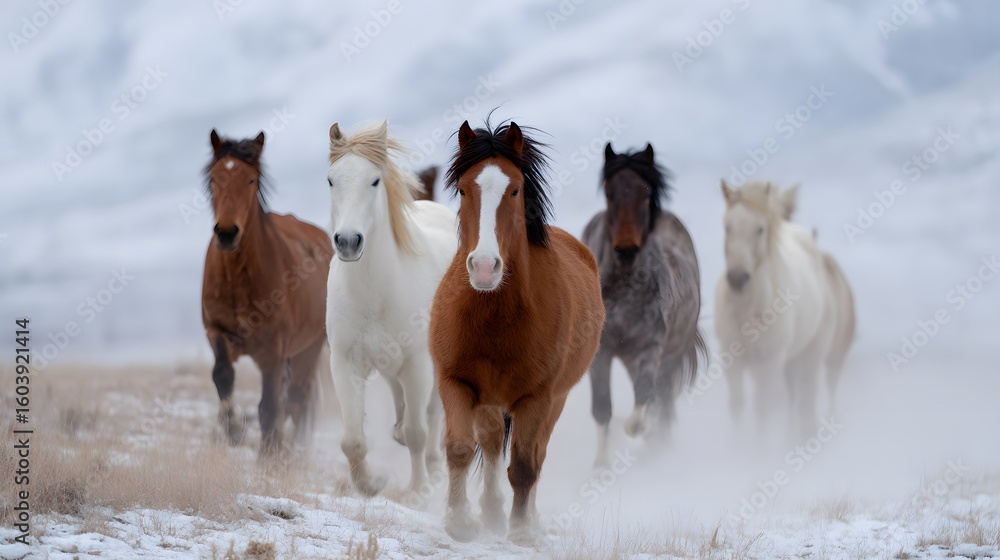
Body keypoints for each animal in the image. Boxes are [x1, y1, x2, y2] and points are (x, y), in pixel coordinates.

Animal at [201, 129, 333, 456]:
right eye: (214, 178)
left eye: (251, 180)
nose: (226, 233)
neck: (238, 279)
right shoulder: (215, 330)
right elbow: (222, 375)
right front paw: (233, 430)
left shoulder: (273, 351)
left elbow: (270, 406)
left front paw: (267, 457)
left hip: (310, 348)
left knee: (297, 397)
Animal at [325, 121, 457, 498]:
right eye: (331, 180)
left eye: (374, 180)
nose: (348, 242)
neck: (376, 294)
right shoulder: (345, 363)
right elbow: (353, 440)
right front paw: (370, 485)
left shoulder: (418, 364)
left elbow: (418, 432)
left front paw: (418, 491)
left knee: (432, 415)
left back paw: (434, 468)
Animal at [429, 121, 605, 545]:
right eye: (463, 189)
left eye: (514, 190)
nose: (484, 267)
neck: (494, 317)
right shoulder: (455, 381)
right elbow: (459, 448)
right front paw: (459, 521)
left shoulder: (537, 397)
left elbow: (526, 464)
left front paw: (522, 529)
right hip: (489, 398)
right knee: (492, 442)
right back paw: (491, 512)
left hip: (555, 400)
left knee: (536, 453)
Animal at [581, 143, 706, 466]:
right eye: (609, 192)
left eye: (646, 193)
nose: (626, 251)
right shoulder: (602, 352)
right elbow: (602, 408)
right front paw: (600, 467)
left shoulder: (651, 348)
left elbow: (644, 396)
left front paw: (641, 431)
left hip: (666, 355)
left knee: (659, 394)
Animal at [714, 180, 855, 439]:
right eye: (727, 226)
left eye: (760, 229)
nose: (737, 279)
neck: (748, 310)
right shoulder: (731, 359)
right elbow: (737, 406)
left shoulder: (769, 363)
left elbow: (762, 409)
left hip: (811, 358)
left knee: (807, 401)